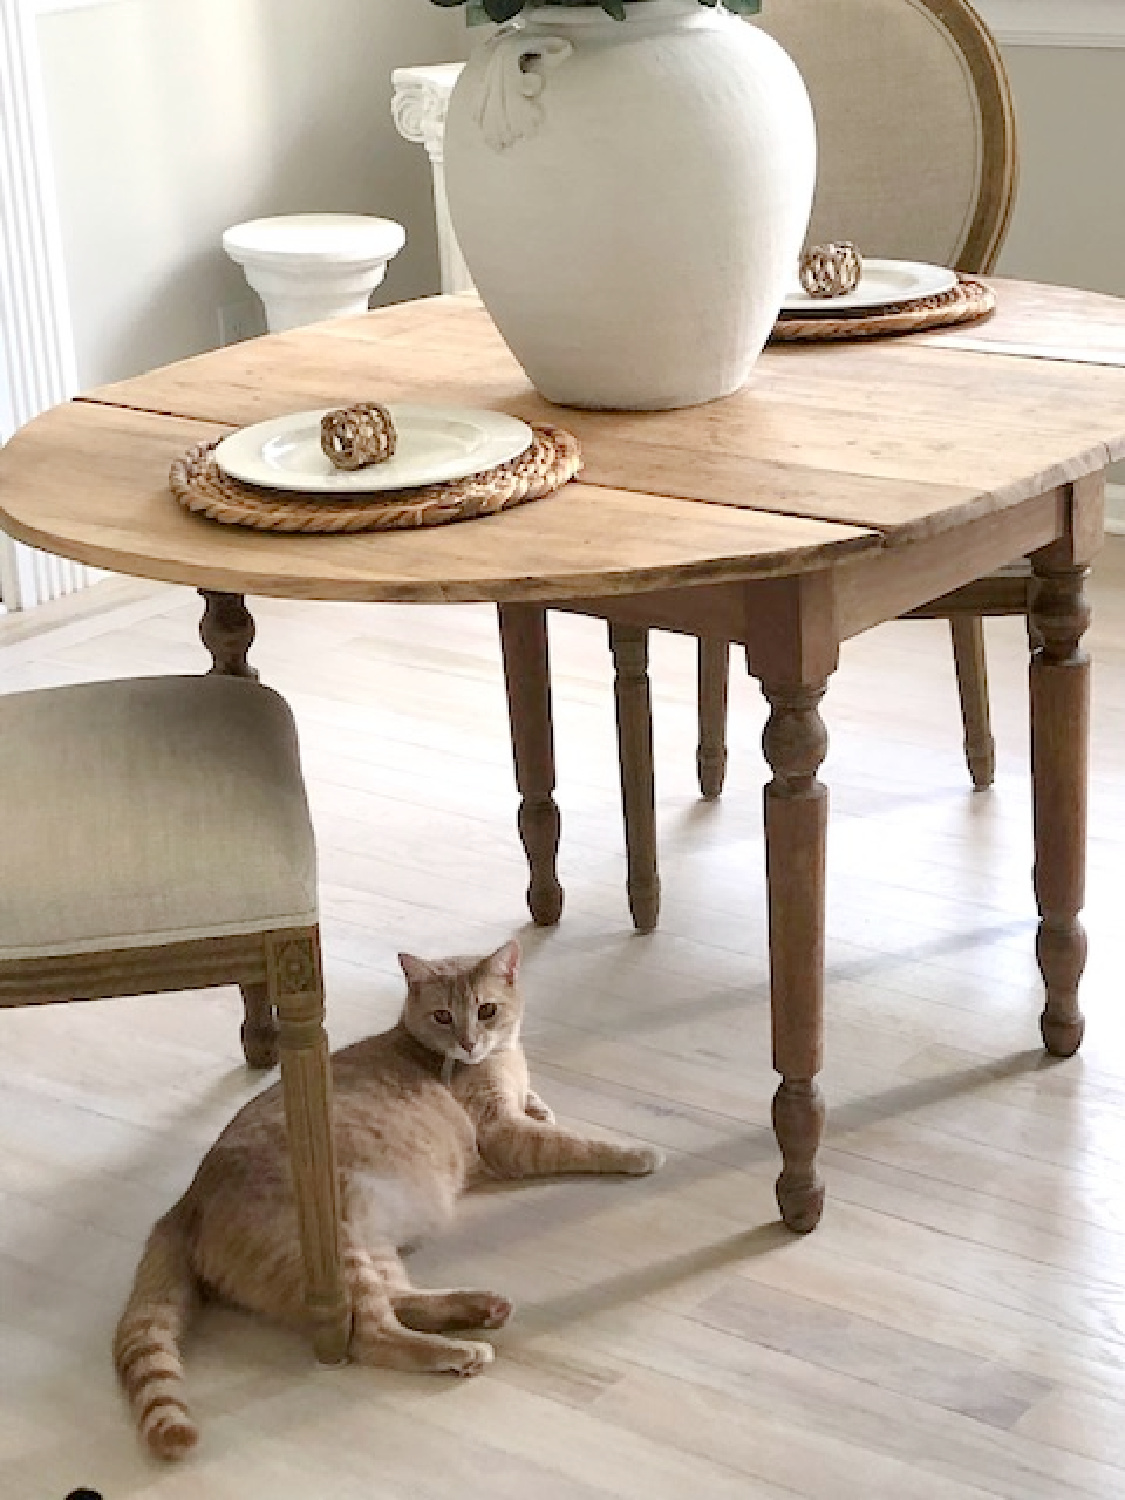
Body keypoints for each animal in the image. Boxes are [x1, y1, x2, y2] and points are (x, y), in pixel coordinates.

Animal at [114, 942, 660, 1458]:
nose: (469, 1042)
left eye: (485, 1010)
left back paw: (481, 1307)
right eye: (443, 1016)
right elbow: (577, 1142)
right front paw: (636, 1152)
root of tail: (184, 1203)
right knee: (373, 1335)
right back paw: (461, 1351)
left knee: (400, 1300)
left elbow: (542, 1110)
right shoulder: (505, 1136)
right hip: (336, 1250)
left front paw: (542, 1105)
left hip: (370, 1247)